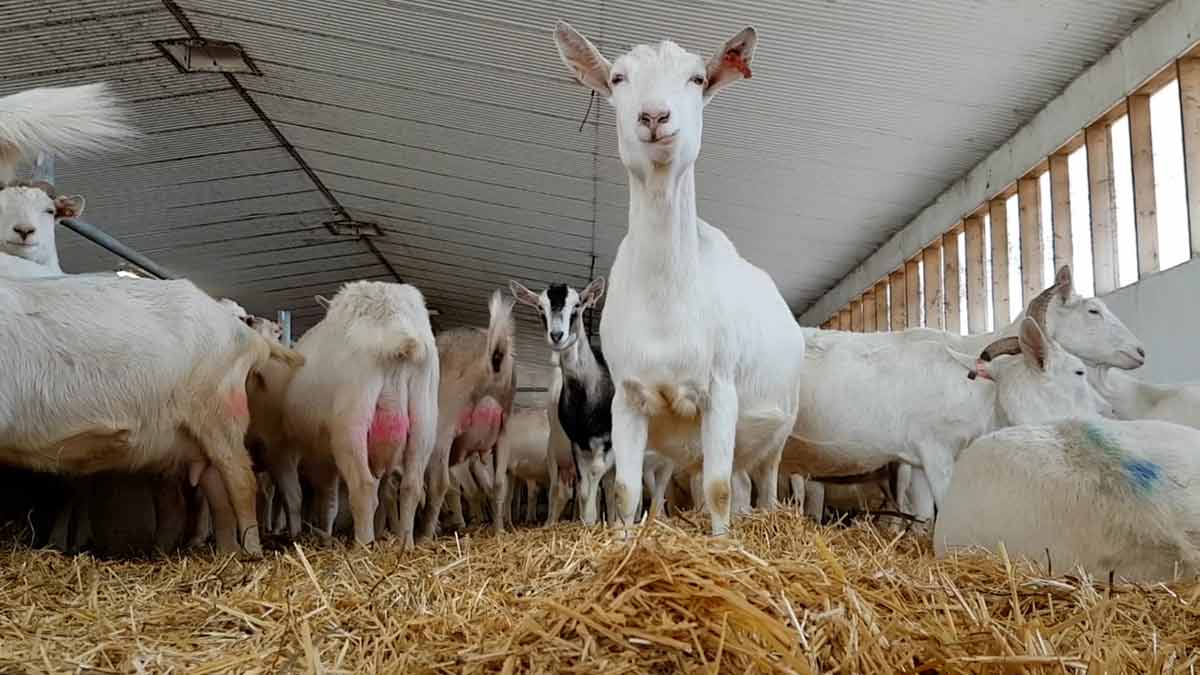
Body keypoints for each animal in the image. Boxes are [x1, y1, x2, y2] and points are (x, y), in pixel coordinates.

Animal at [553, 24, 806, 535]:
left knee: (764, 484)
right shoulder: (627, 399)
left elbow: (717, 488)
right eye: (618, 77)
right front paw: (626, 541)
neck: (665, 307)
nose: (654, 115)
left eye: (697, 78)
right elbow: (625, 491)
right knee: (742, 483)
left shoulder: (721, 390)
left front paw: (724, 544)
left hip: (780, 427)